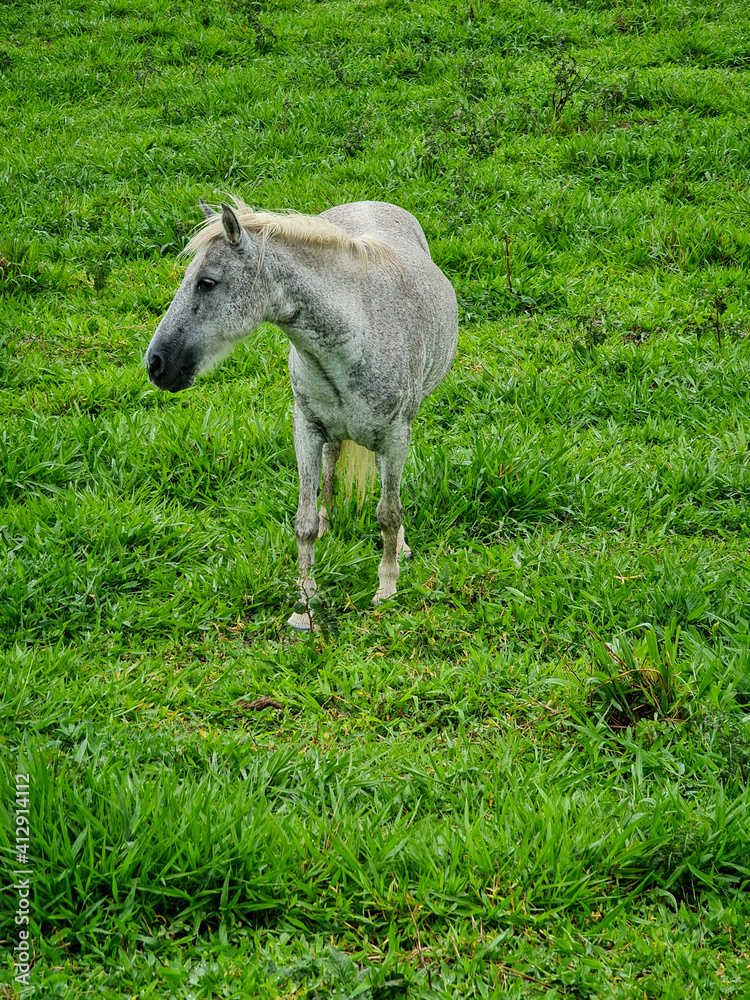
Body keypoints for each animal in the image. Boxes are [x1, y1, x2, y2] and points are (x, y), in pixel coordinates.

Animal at [145, 199, 458, 629]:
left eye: (206, 282)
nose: (156, 364)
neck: (358, 331)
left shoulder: (395, 438)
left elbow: (388, 514)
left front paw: (387, 587)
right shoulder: (306, 430)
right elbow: (304, 521)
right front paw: (304, 602)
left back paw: (401, 547)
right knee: (330, 469)